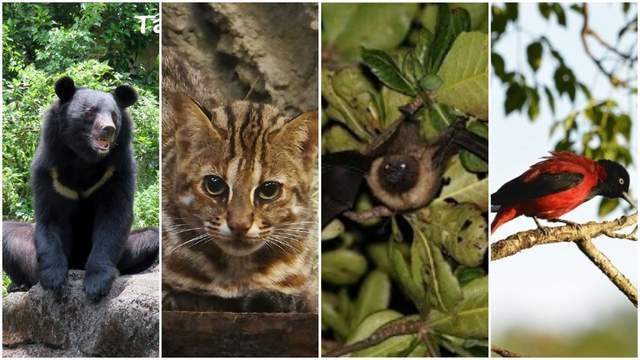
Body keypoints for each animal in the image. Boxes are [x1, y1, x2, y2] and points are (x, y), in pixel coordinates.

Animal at [3, 76, 158, 300]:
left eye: (114, 115)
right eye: (90, 111)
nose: (108, 129)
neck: (83, 158)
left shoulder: (115, 171)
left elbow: (113, 217)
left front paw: (96, 285)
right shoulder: (50, 171)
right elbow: (51, 217)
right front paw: (54, 280)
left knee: (151, 236)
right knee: (9, 235)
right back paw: (20, 284)